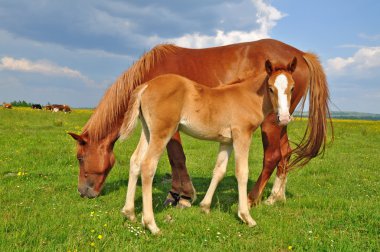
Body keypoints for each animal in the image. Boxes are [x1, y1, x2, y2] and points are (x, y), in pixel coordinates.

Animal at [70, 38, 332, 206]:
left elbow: (176, 157)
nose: (83, 192)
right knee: (285, 153)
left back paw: (252, 198)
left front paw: (181, 196)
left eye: (80, 158)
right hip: (282, 120)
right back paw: (275, 197)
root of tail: (301, 55)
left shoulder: (170, 128)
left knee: (273, 155)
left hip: (271, 123)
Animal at [119, 57, 296, 234]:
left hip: (147, 131)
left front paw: (205, 206)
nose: (284, 118)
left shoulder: (226, 141)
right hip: (162, 132)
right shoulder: (242, 135)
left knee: (135, 161)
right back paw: (151, 225)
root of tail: (147, 85)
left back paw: (129, 213)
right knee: (148, 165)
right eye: (271, 88)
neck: (249, 97)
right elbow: (242, 172)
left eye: (292, 88)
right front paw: (246, 216)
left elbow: (219, 171)